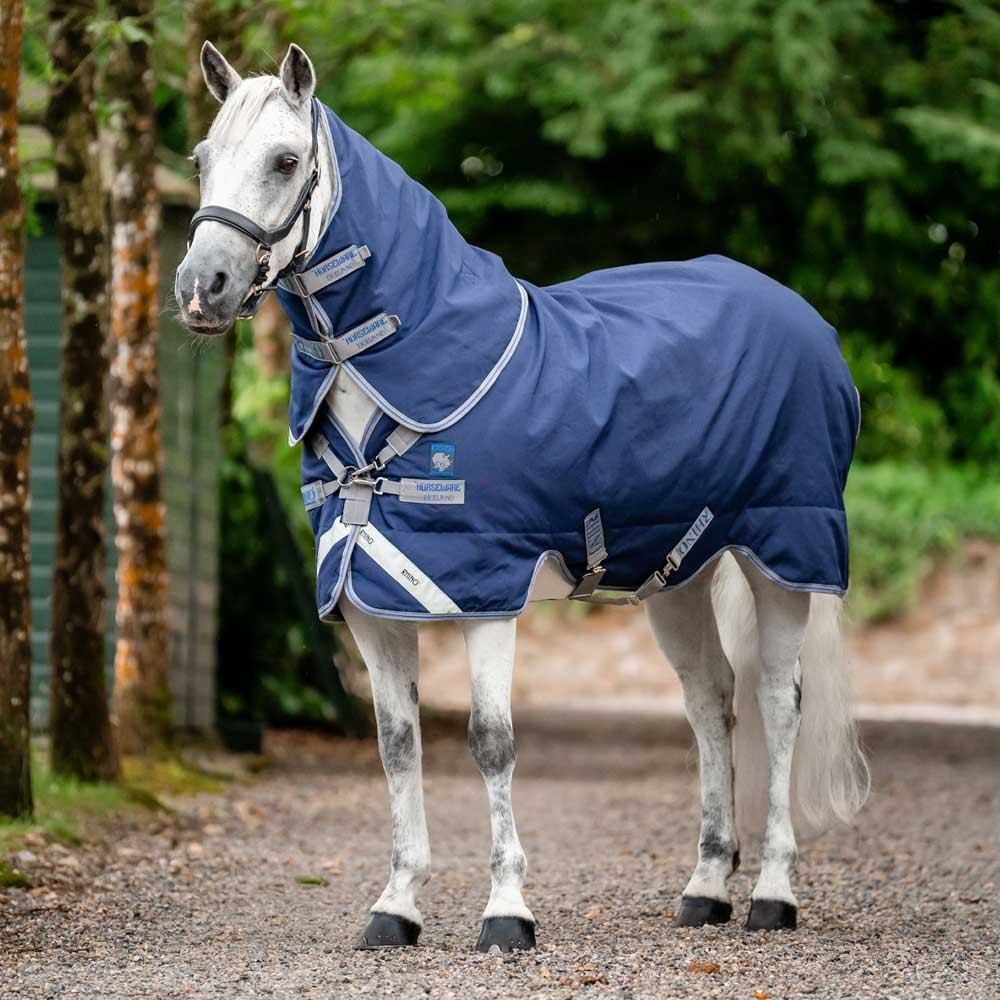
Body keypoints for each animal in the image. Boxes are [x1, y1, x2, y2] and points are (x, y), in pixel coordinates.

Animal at [175, 42, 869, 951]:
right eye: (201, 159)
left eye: (286, 161)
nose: (202, 288)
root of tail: (805, 320)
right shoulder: (368, 599)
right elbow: (397, 746)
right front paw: (396, 905)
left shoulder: (483, 594)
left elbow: (491, 743)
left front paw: (506, 911)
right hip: (678, 576)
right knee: (709, 702)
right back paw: (706, 888)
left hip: (782, 557)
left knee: (778, 706)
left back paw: (773, 896)